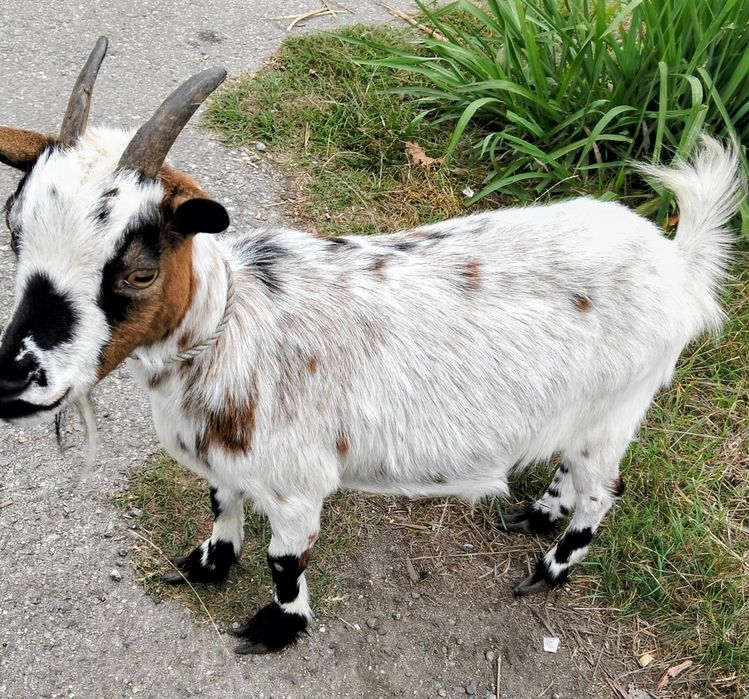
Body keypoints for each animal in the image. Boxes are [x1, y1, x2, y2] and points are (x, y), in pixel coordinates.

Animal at [0, 38, 743, 655]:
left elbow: (284, 561)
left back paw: (550, 566)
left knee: (602, 491)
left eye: (140, 272)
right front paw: (208, 564)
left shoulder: (296, 486)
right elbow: (219, 503)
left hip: (618, 407)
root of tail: (676, 262)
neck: (230, 327)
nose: (13, 379)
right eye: (14, 232)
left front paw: (277, 627)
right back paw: (534, 516)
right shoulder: (226, 462)